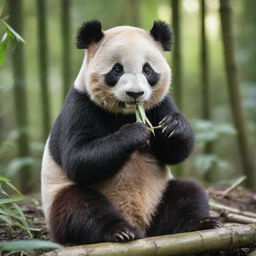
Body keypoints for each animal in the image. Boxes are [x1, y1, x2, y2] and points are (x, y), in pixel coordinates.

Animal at [40, 20, 218, 246]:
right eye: (117, 69)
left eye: (147, 69)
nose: (135, 93)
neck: (125, 113)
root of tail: (143, 226)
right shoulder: (80, 105)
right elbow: (78, 159)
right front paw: (135, 133)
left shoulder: (159, 105)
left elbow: (176, 153)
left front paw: (174, 126)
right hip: (59, 199)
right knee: (80, 207)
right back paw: (120, 231)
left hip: (160, 196)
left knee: (189, 193)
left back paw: (201, 222)